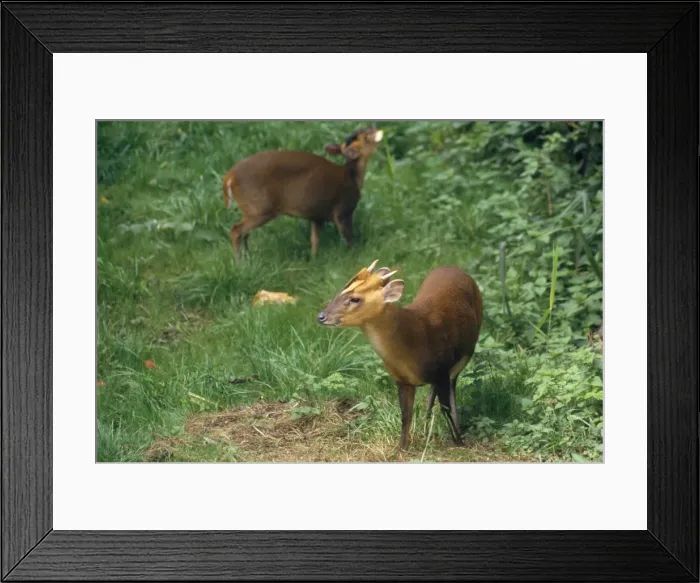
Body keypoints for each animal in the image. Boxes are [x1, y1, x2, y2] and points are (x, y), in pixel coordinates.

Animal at [222, 126, 384, 262]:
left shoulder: (317, 216)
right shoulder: (343, 209)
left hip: (251, 210)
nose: (374, 127)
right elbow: (348, 237)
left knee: (244, 233)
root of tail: (229, 176)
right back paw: (240, 263)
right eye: (366, 137)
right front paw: (356, 256)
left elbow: (314, 240)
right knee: (236, 230)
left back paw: (248, 259)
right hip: (260, 209)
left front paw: (314, 260)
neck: (352, 177)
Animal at [317, 260, 483, 451]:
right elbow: (405, 415)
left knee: (452, 388)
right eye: (341, 290)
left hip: (466, 352)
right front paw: (401, 448)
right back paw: (426, 424)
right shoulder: (402, 380)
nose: (321, 316)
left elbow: (446, 407)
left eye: (355, 299)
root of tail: (453, 267)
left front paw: (459, 442)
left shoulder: (443, 369)